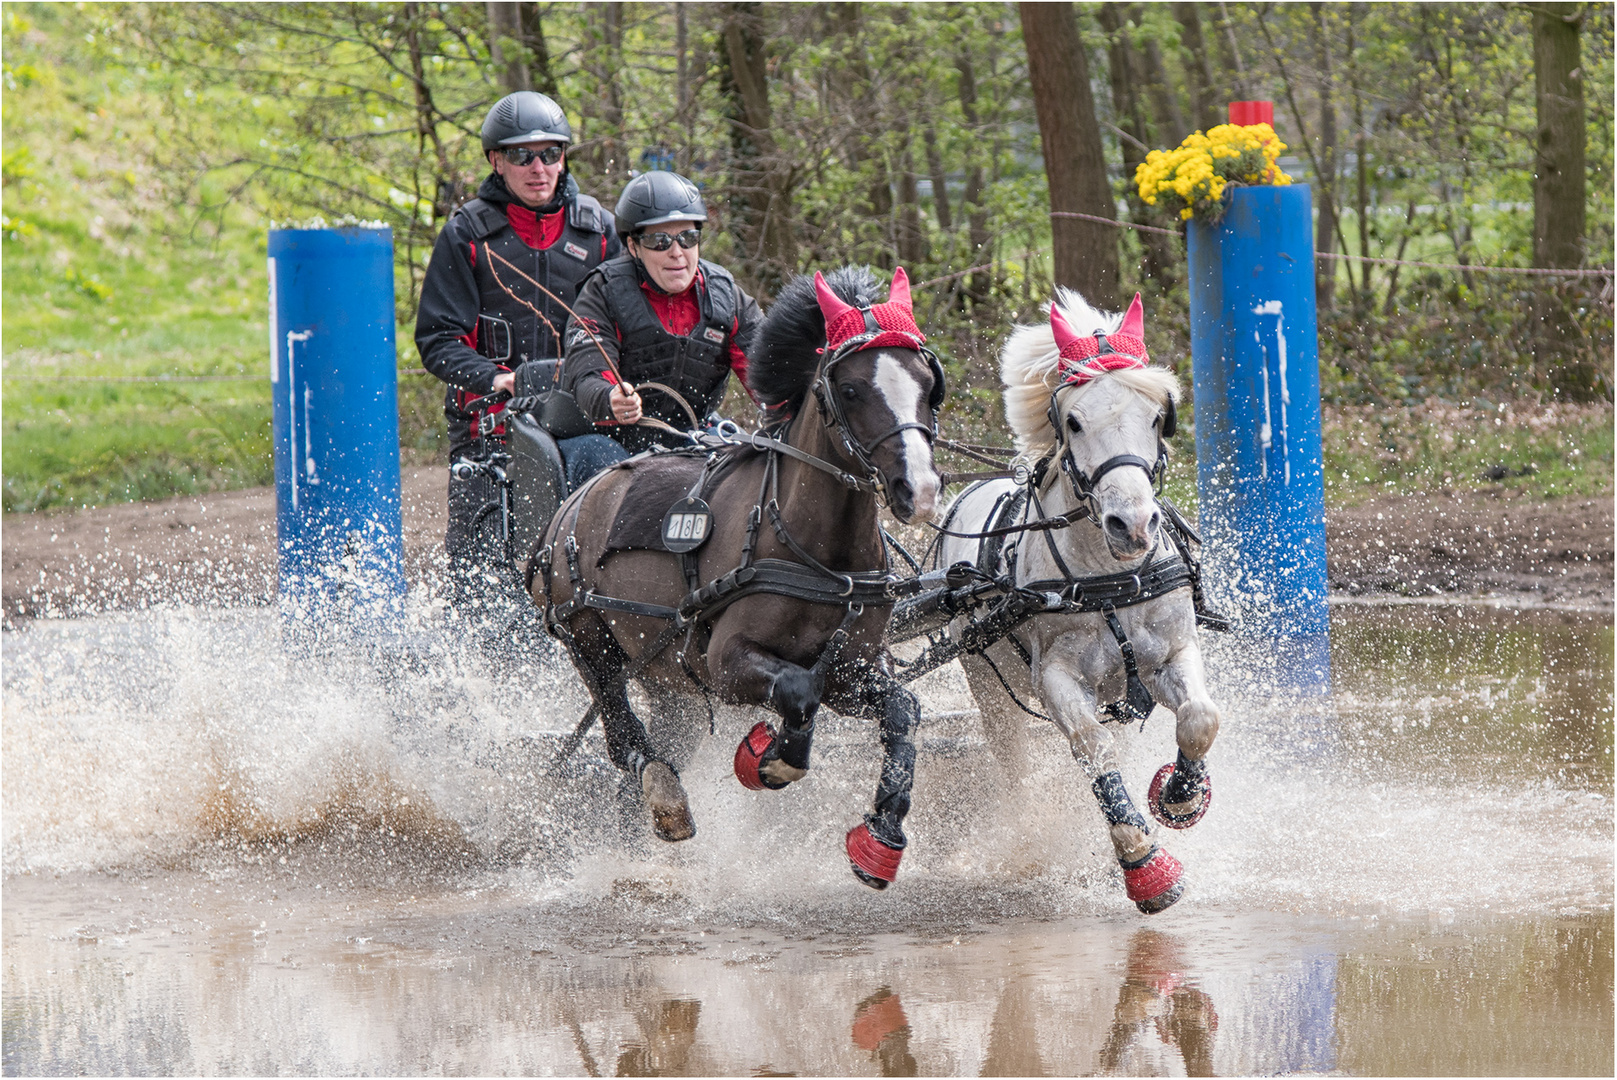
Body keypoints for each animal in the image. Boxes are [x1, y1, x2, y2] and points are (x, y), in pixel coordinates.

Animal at [536, 265, 944, 892]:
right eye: (851, 390)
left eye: (927, 383)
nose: (918, 490)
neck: (817, 552)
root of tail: (574, 502)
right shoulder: (727, 663)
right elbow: (799, 691)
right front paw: (771, 758)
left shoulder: (851, 671)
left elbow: (902, 710)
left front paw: (880, 838)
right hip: (589, 640)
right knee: (624, 738)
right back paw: (664, 796)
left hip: (667, 679)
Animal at [937, 286, 1222, 911]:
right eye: (1073, 421)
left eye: (1156, 417)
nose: (1132, 525)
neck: (1111, 577)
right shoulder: (1059, 677)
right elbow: (1093, 746)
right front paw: (1143, 862)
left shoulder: (1172, 653)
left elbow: (1199, 718)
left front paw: (1180, 794)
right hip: (987, 685)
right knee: (1014, 764)